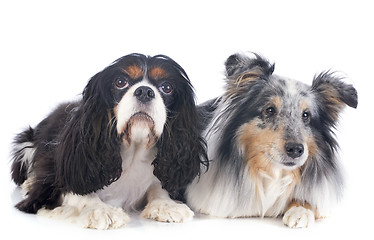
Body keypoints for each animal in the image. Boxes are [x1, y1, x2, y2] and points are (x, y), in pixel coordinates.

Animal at [10, 53, 207, 230]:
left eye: (167, 87)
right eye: (120, 82)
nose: (145, 91)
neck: (134, 149)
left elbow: (158, 186)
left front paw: (167, 204)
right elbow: (77, 192)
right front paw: (99, 209)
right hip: (25, 146)